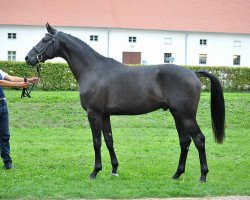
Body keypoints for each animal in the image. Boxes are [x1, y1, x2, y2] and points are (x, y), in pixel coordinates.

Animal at [24, 23, 225, 181]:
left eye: (44, 40)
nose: (28, 58)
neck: (93, 69)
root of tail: (193, 73)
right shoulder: (105, 115)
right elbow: (108, 141)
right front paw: (114, 169)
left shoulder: (93, 113)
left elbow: (96, 142)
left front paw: (94, 172)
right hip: (177, 115)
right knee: (185, 141)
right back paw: (177, 174)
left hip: (186, 115)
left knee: (199, 139)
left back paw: (203, 175)